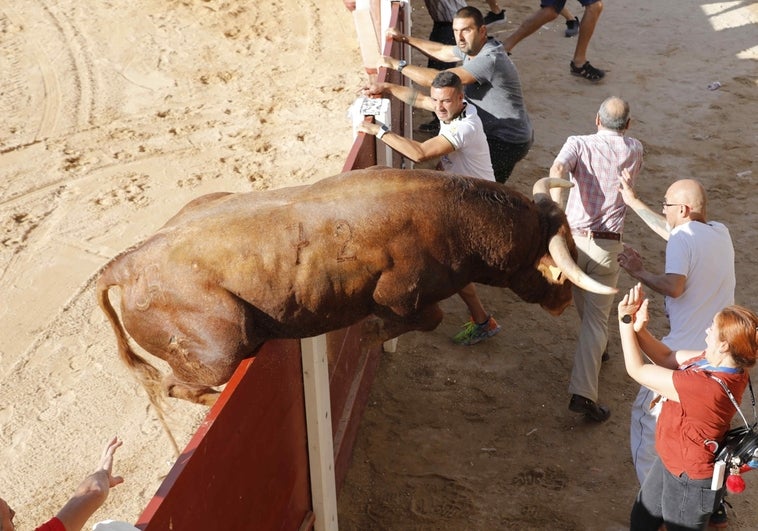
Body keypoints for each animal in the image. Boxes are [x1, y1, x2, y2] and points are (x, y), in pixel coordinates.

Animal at [96, 168, 616, 418]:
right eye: (558, 274)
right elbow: (427, 318)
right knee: (174, 383)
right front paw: (368, 338)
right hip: (222, 347)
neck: (455, 217)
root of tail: (127, 263)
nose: (563, 303)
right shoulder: (399, 295)